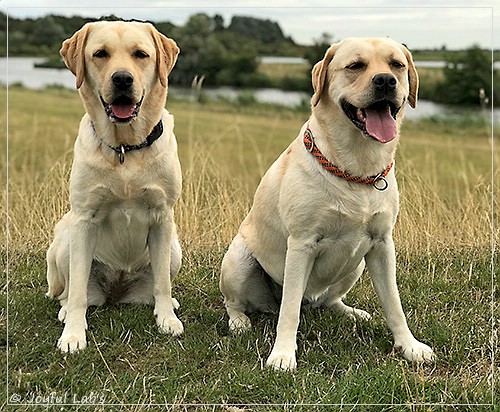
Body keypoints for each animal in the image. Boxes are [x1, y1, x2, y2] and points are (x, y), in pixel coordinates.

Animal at [46, 20, 183, 352]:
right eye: (101, 54)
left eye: (141, 55)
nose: (122, 79)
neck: (125, 149)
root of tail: (117, 293)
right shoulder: (84, 218)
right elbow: (77, 290)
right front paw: (73, 334)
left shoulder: (163, 217)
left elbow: (162, 282)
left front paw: (167, 319)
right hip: (67, 238)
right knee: (70, 291)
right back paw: (67, 311)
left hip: (174, 249)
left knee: (158, 283)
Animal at [221, 37, 436, 368]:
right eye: (355, 66)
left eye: (397, 65)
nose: (386, 81)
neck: (357, 169)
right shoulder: (302, 243)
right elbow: (289, 311)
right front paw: (283, 355)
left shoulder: (382, 244)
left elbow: (394, 303)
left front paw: (409, 345)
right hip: (238, 260)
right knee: (237, 303)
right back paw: (239, 322)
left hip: (356, 264)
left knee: (329, 301)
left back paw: (351, 312)